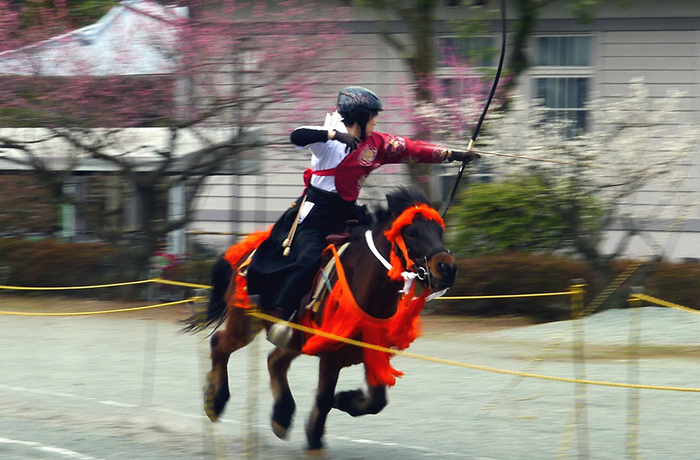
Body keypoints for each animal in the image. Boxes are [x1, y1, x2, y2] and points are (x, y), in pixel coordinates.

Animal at [185, 187, 460, 452]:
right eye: (411, 232)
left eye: (440, 231)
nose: (447, 268)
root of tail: (245, 250)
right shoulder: (331, 353)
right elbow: (325, 397)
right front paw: (315, 437)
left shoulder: (372, 350)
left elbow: (376, 401)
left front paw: (345, 400)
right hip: (244, 321)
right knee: (221, 345)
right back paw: (215, 401)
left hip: (296, 338)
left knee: (275, 361)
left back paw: (281, 416)